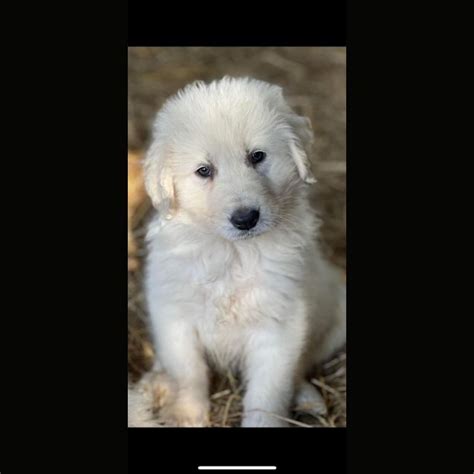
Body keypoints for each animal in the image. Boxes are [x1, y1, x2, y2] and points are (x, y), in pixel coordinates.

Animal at [141, 77, 344, 426]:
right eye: (204, 170)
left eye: (257, 156)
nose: (246, 219)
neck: (232, 254)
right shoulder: (174, 317)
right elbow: (189, 373)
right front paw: (185, 414)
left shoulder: (279, 327)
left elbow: (267, 394)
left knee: (302, 367)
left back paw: (309, 398)